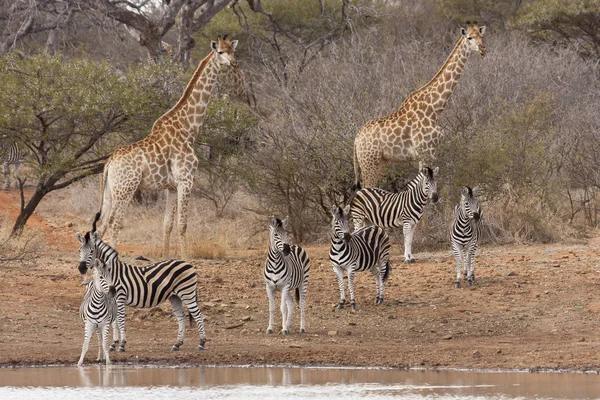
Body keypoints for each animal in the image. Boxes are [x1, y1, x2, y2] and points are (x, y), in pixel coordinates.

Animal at [76, 212, 207, 350]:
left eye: (91, 251)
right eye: (79, 250)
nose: (81, 268)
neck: (112, 272)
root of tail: (189, 264)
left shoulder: (120, 297)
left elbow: (120, 321)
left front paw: (122, 344)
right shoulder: (113, 299)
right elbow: (114, 321)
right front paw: (114, 344)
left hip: (187, 293)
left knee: (198, 315)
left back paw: (201, 343)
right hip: (175, 296)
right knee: (181, 317)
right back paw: (177, 344)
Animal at [96, 36, 241, 258]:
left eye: (232, 51)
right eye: (220, 52)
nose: (233, 63)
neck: (188, 129)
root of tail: (109, 163)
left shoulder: (171, 187)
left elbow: (167, 224)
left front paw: (165, 259)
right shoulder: (186, 180)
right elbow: (182, 225)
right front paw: (186, 259)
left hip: (110, 192)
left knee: (101, 225)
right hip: (125, 190)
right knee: (114, 223)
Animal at [352, 19, 488, 186]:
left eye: (481, 36)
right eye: (469, 37)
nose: (482, 48)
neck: (435, 108)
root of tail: (356, 140)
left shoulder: (430, 153)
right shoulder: (425, 152)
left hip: (380, 162)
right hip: (369, 163)